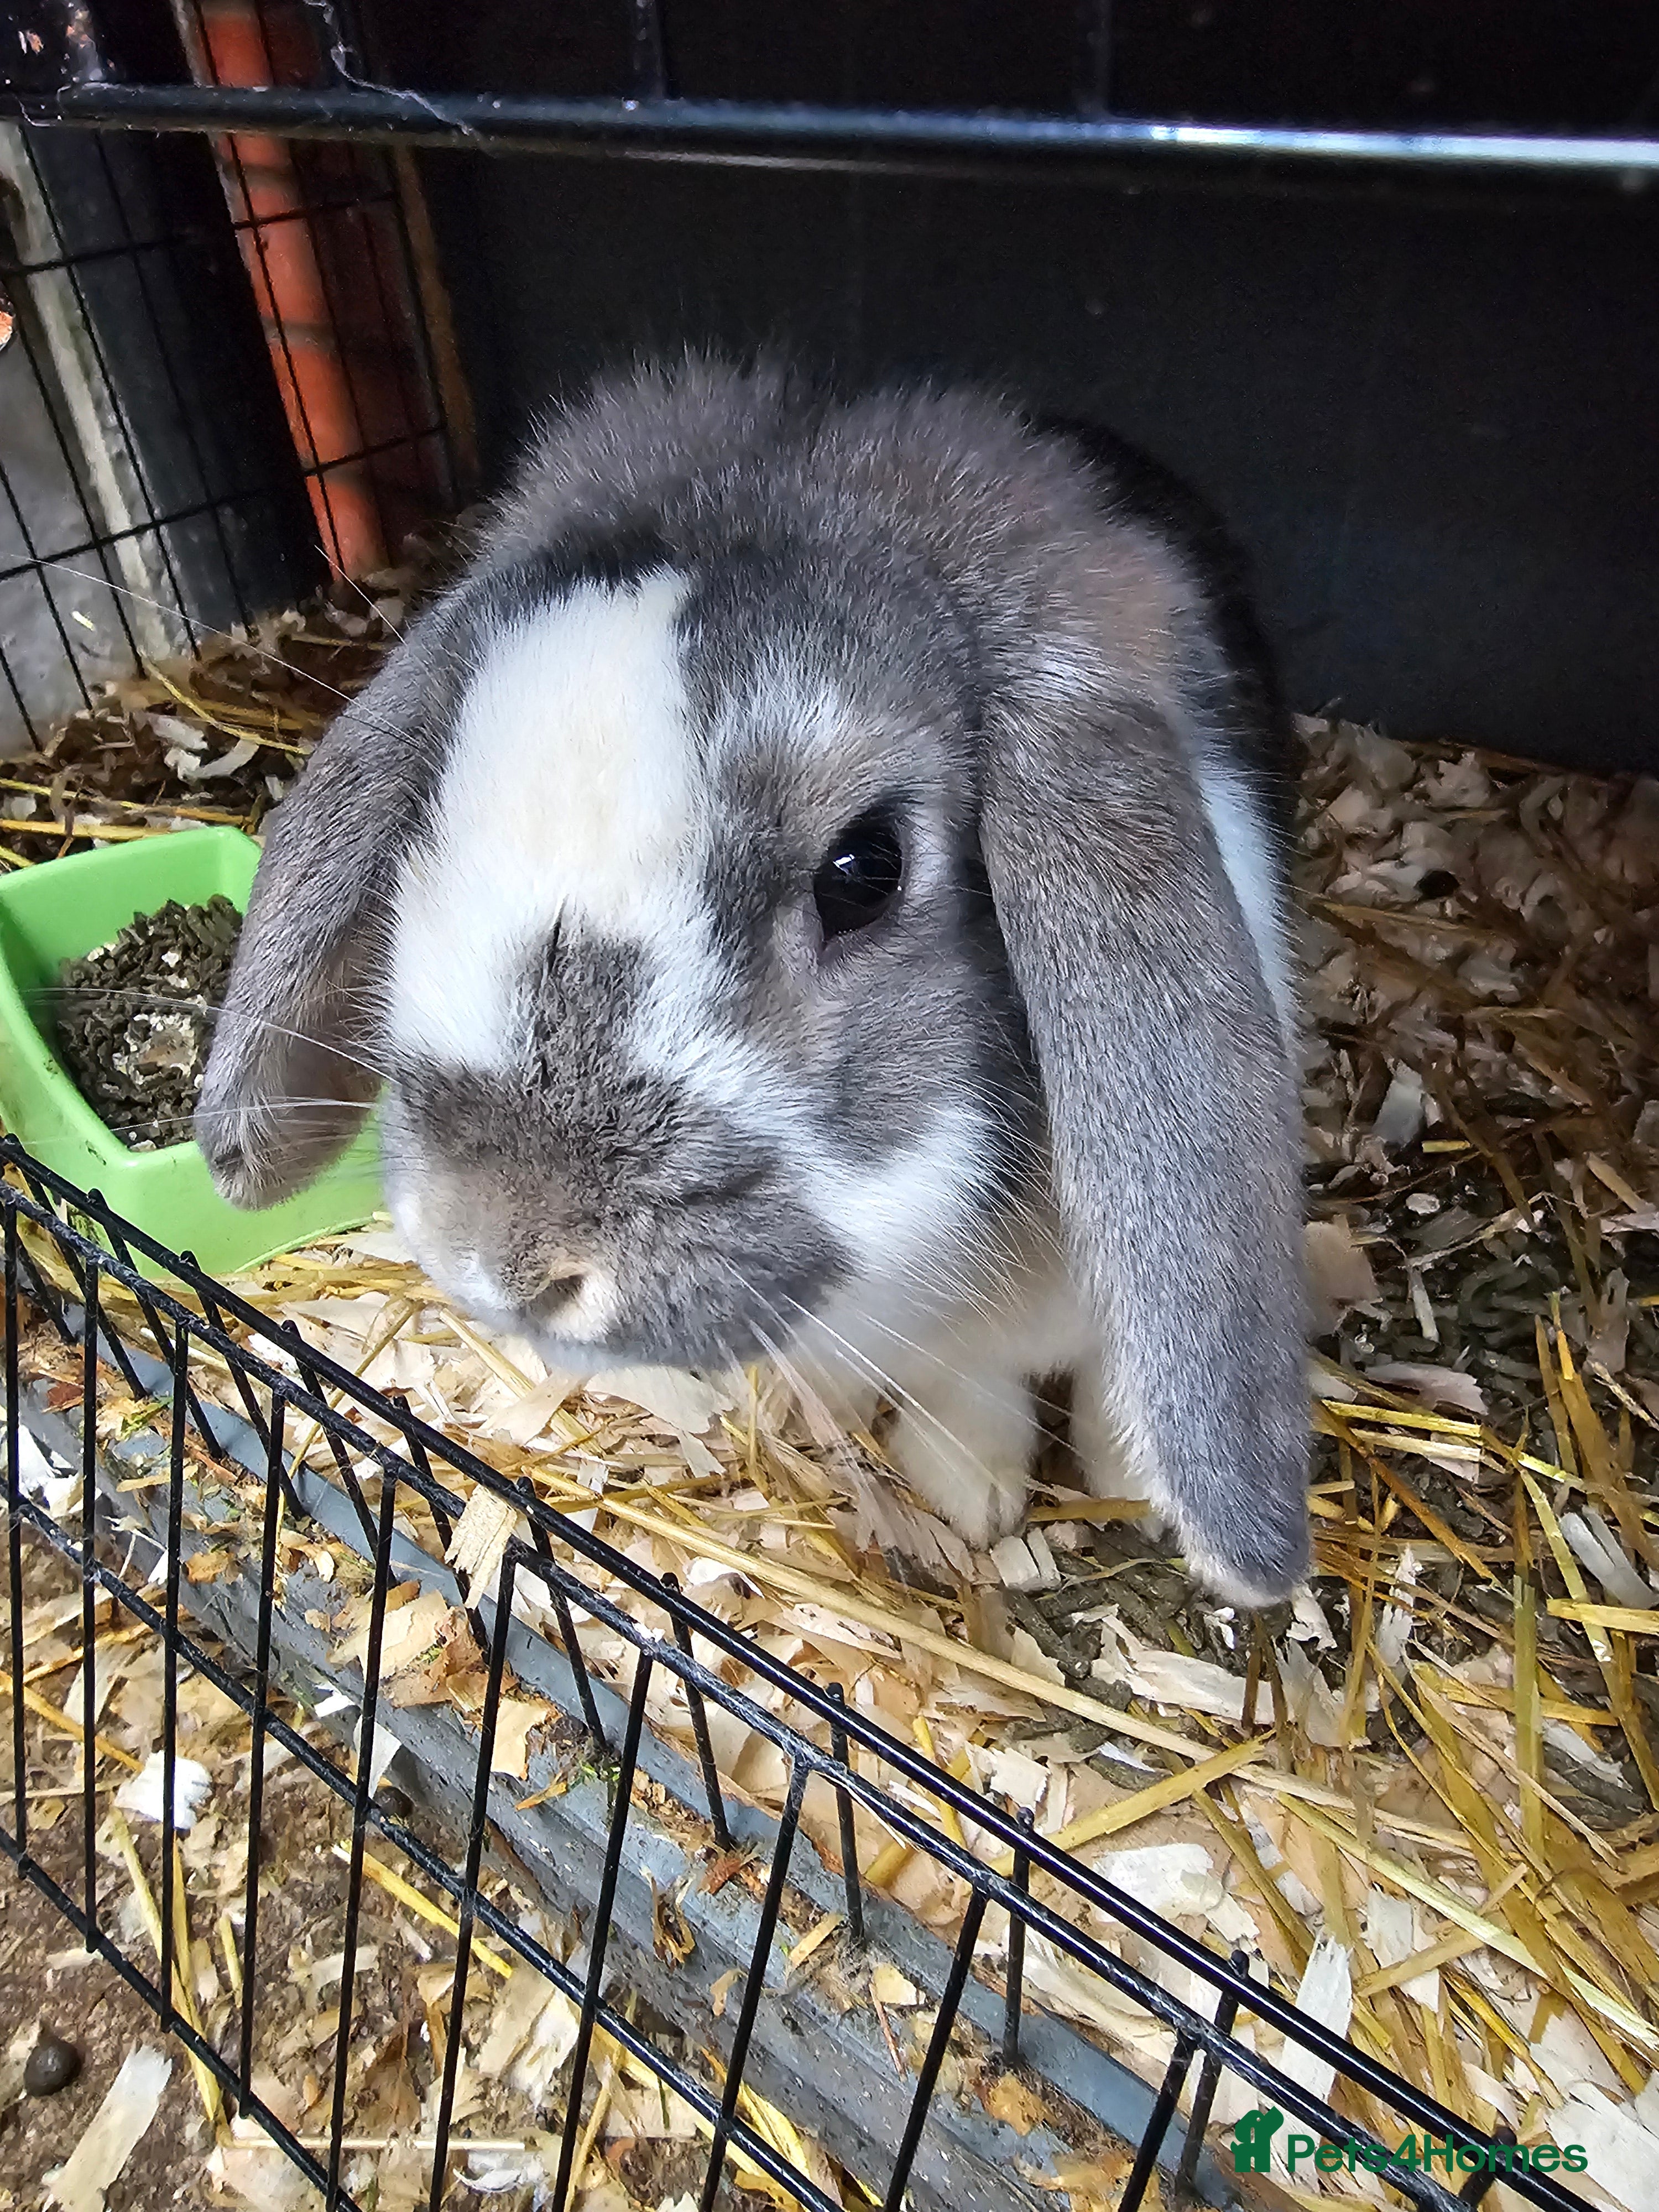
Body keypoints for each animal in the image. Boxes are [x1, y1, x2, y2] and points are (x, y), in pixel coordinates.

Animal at [196, 356, 1310, 1605]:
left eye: (867, 869)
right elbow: (968, 1390)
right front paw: (967, 1489)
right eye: (433, 807)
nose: (504, 1260)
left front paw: (1110, 1486)